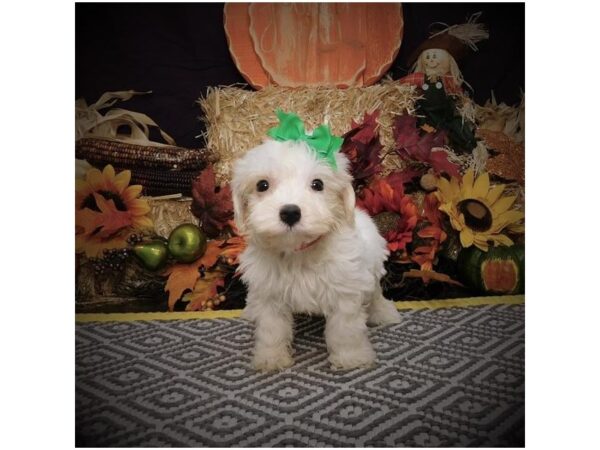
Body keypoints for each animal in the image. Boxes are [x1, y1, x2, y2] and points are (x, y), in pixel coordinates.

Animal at [232, 139, 400, 370]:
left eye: (318, 184)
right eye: (262, 185)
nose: (290, 212)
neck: (299, 252)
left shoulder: (345, 290)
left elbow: (345, 329)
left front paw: (351, 357)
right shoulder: (269, 295)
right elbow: (271, 330)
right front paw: (271, 358)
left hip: (372, 268)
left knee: (375, 293)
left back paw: (383, 312)